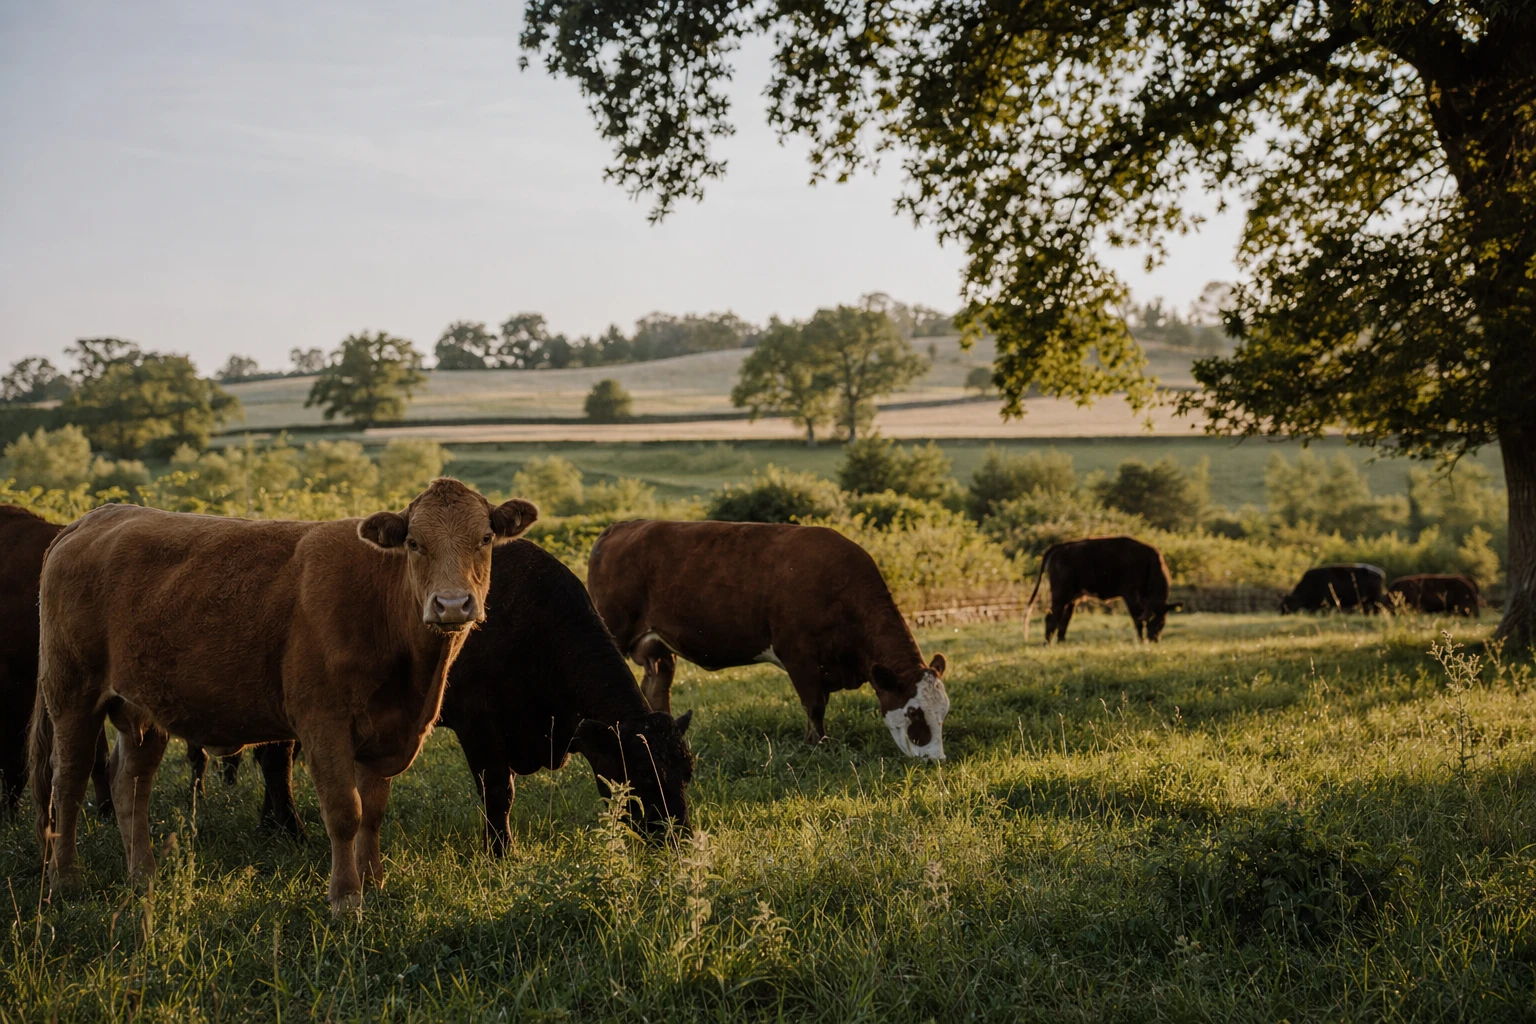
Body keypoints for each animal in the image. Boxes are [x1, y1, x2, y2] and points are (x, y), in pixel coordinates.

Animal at [29, 479, 536, 915]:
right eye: (414, 542)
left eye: (485, 537)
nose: (451, 604)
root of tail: (93, 518)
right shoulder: (323, 722)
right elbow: (345, 811)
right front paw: (346, 897)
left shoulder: (384, 728)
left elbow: (373, 812)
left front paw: (374, 881)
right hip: (72, 694)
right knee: (69, 781)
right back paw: (67, 879)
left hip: (142, 709)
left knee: (130, 784)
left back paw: (143, 875)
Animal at [237, 539, 697, 854]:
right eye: (641, 775)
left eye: (685, 773)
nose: (681, 838)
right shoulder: (478, 723)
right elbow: (498, 790)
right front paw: (501, 854)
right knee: (277, 759)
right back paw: (292, 831)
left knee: (275, 758)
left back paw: (273, 827)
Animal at [587, 519, 950, 760]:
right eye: (914, 713)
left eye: (944, 712)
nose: (936, 759)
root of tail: (620, 526)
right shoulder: (798, 652)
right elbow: (814, 704)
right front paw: (818, 745)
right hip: (612, 629)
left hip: (658, 647)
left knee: (657, 687)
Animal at [1023, 536, 1178, 643]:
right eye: (1151, 619)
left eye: (1162, 622)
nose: (1154, 639)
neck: (1149, 564)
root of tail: (1059, 547)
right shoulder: (1130, 595)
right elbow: (1137, 619)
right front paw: (1140, 640)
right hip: (1060, 594)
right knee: (1051, 617)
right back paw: (1047, 643)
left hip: (1072, 597)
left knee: (1063, 619)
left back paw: (1061, 643)